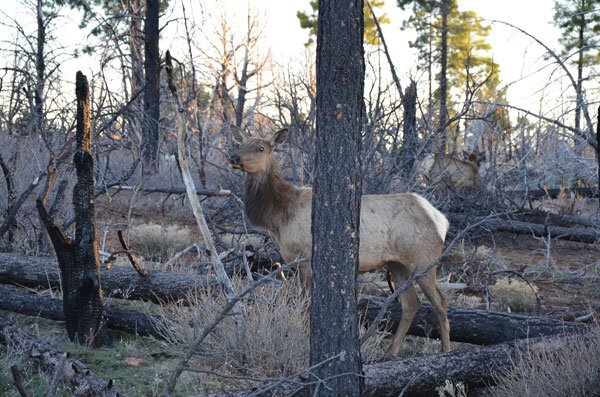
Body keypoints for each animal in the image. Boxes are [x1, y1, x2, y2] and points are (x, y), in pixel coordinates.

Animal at [229, 124, 450, 352]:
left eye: (261, 148)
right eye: (242, 144)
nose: (234, 157)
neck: (280, 217)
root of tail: (441, 219)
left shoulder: (306, 258)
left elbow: (305, 304)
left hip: (424, 259)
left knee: (440, 302)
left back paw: (445, 350)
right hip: (397, 264)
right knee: (411, 303)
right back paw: (390, 352)